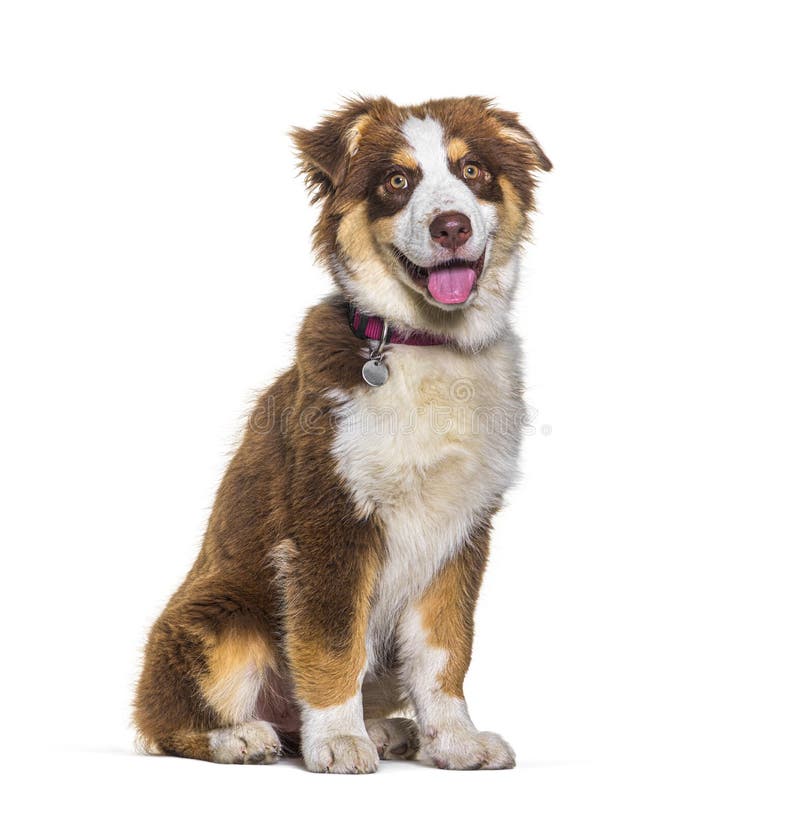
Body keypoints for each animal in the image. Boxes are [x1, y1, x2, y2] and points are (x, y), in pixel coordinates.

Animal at [134, 92, 552, 772]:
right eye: (397, 182)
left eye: (473, 172)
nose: (451, 227)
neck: (426, 345)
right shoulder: (329, 520)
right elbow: (331, 641)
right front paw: (337, 741)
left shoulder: (463, 528)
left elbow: (445, 650)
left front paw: (454, 741)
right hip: (225, 620)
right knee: (162, 723)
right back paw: (242, 737)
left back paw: (383, 730)